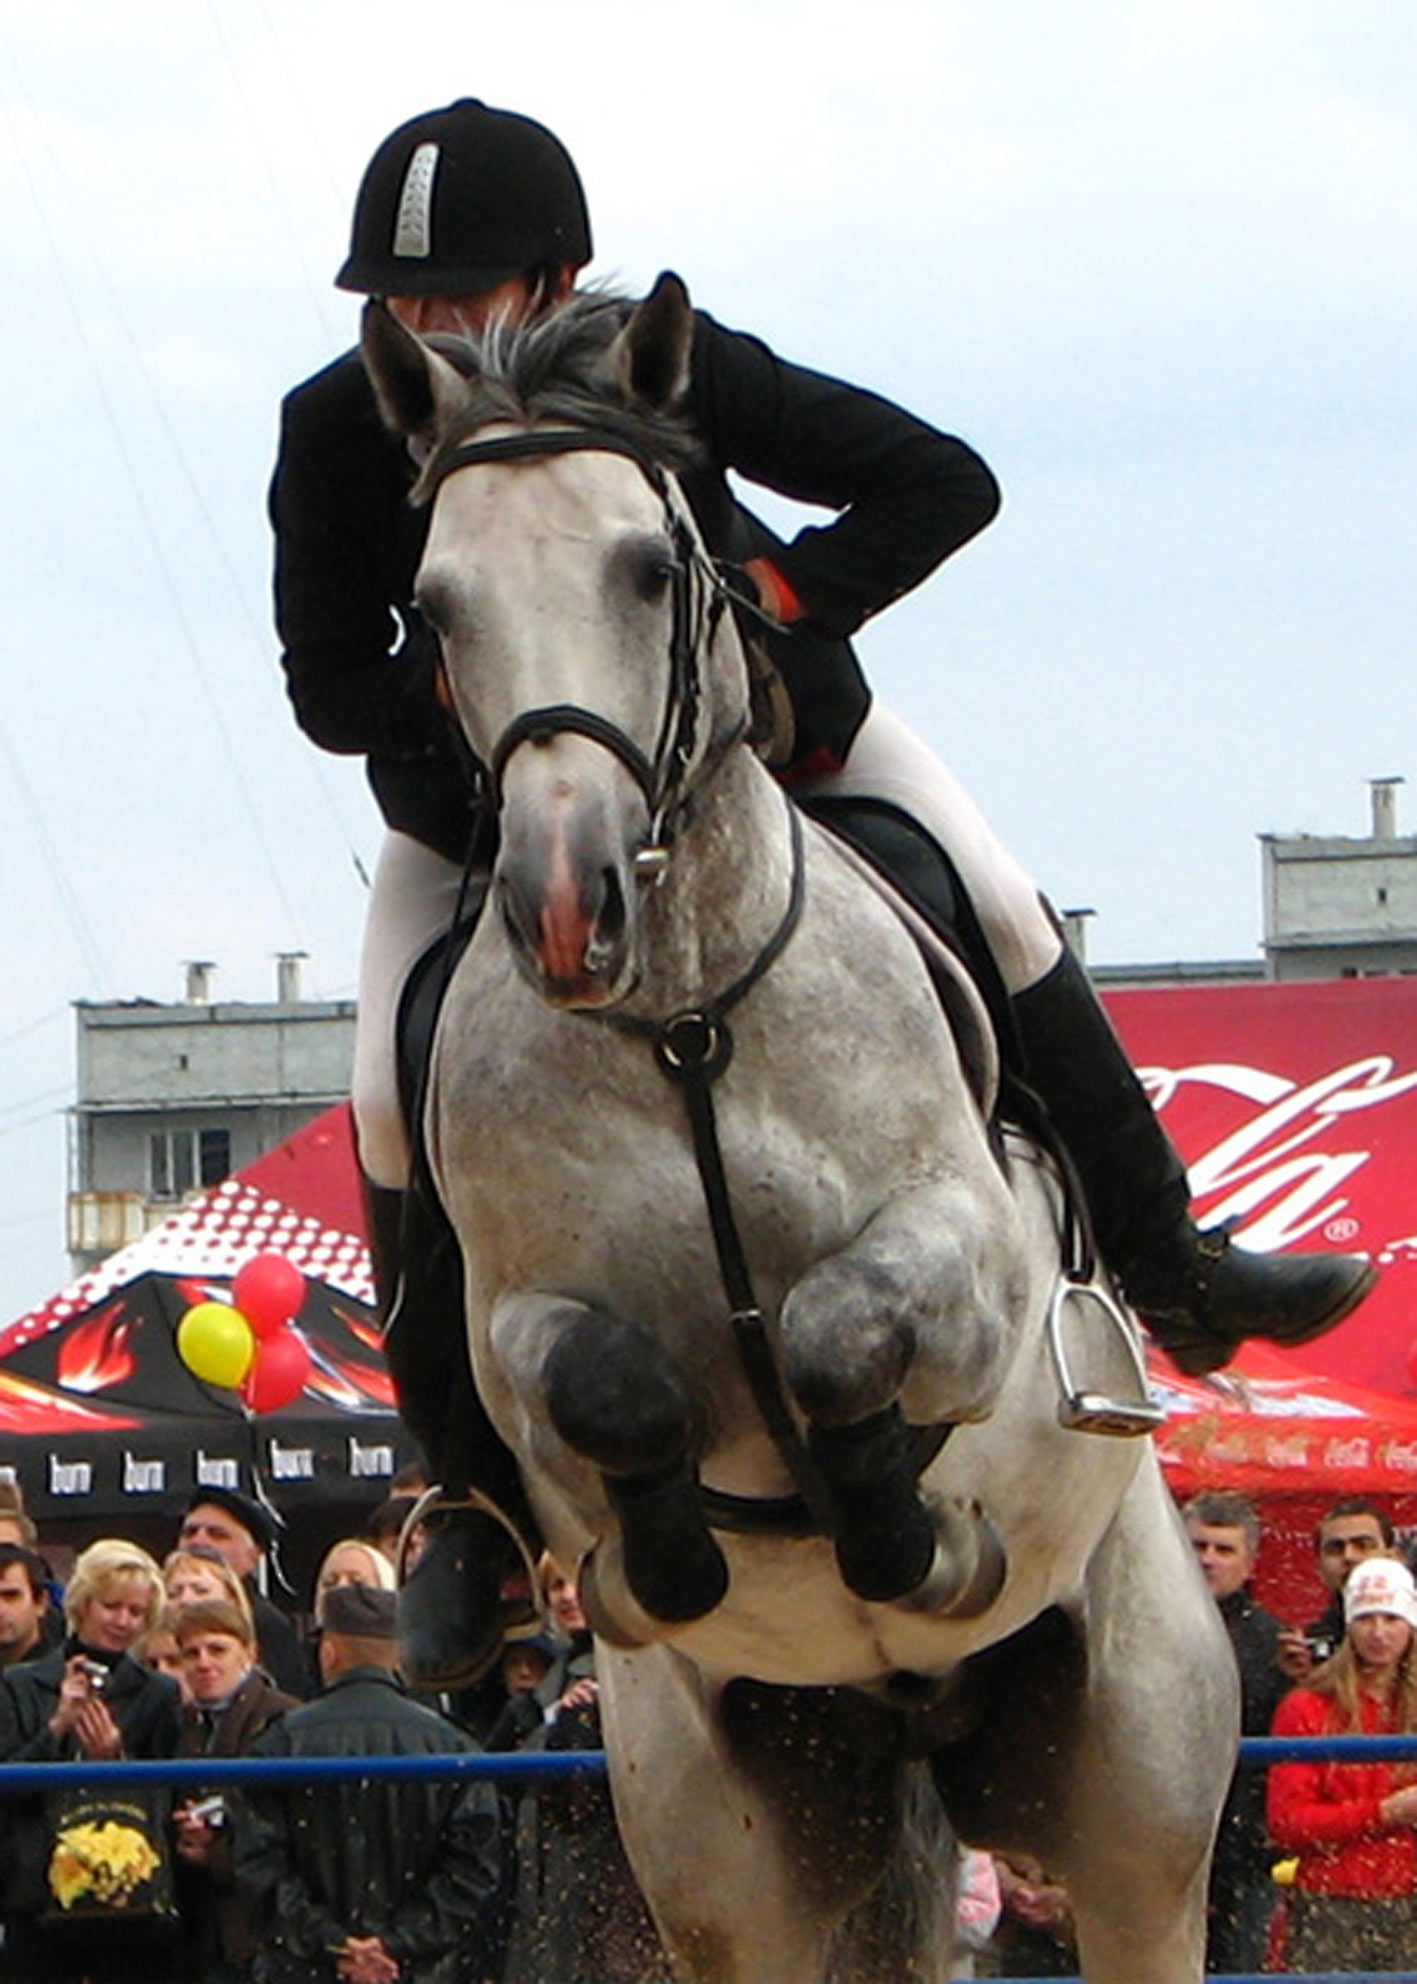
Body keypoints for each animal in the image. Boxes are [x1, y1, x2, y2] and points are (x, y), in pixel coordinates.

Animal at [365, 279, 1238, 1984]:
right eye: (432, 610)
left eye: (652, 567)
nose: (565, 907)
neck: (684, 1025)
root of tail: (919, 1724)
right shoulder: (515, 1328)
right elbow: (610, 1390)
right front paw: (669, 1563)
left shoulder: (971, 1269)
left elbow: (840, 1338)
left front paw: (917, 1537)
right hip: (735, 1854)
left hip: (1141, 1809)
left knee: (1137, 1868)